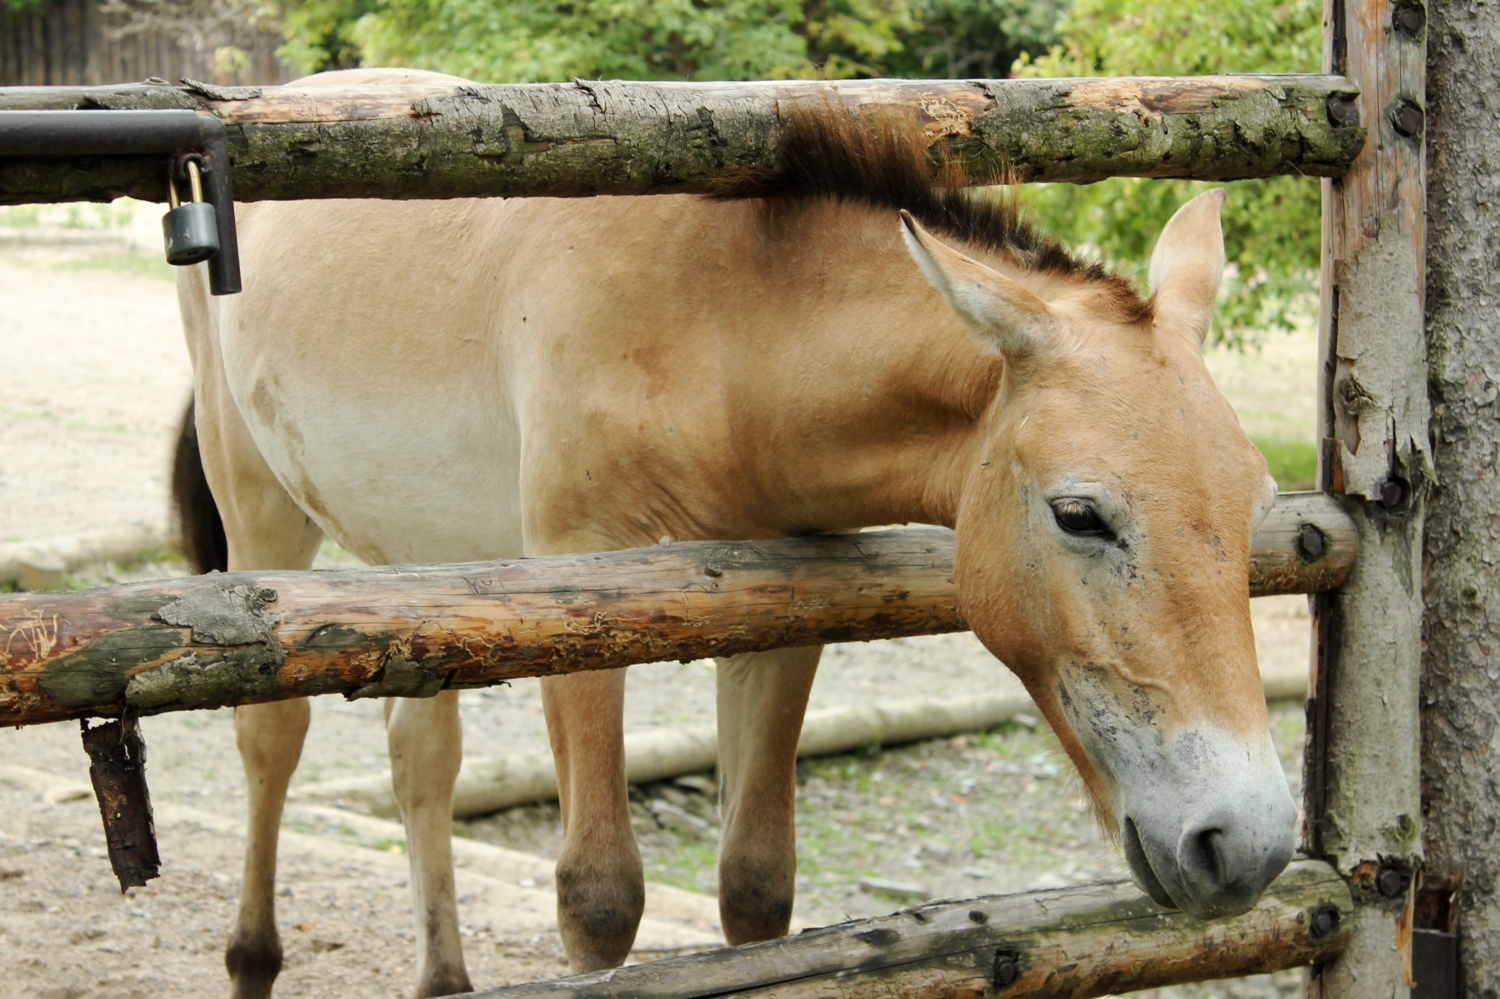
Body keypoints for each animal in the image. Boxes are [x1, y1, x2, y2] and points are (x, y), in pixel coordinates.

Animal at [172, 66, 1302, 990]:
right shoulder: (579, 604)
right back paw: (250, 957)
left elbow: (758, 886)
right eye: (1079, 514)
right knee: (272, 738)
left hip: (427, 575)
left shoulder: (779, 620)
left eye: (1254, 509)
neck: (719, 331)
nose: (1243, 842)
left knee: (422, 758)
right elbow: (600, 894)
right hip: (265, 509)